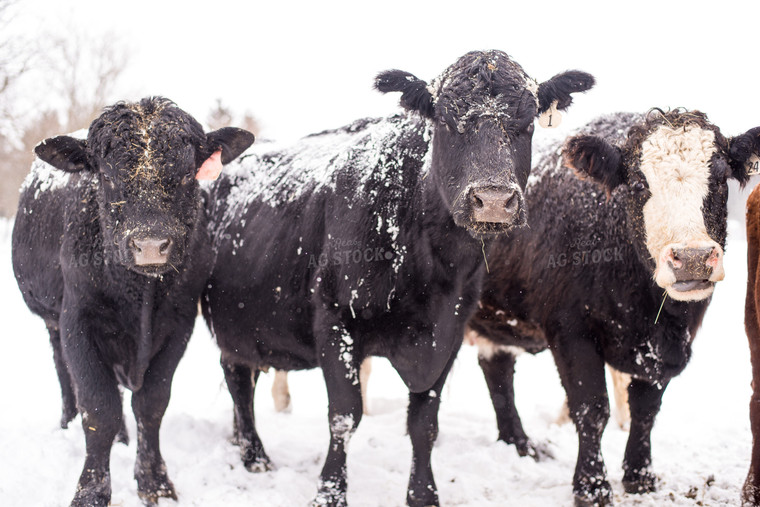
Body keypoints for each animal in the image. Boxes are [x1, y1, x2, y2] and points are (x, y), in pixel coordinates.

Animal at [11, 97, 255, 506]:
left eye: (187, 175)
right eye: (107, 177)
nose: (151, 244)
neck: (139, 296)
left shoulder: (179, 325)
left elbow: (151, 404)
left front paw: (155, 481)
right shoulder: (78, 321)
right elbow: (98, 407)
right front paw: (91, 491)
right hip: (52, 321)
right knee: (65, 375)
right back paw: (67, 424)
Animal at [205, 48, 596, 507]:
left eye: (529, 123)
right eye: (445, 122)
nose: (493, 200)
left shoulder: (448, 332)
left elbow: (424, 422)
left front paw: (423, 493)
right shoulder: (336, 321)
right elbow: (344, 416)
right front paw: (330, 492)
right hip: (231, 319)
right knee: (237, 379)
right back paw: (254, 454)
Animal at [470, 109, 760, 506]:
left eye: (719, 180)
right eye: (638, 185)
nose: (693, 259)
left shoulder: (664, 349)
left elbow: (646, 409)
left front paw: (639, 475)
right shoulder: (570, 331)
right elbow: (591, 409)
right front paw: (591, 487)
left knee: (497, 372)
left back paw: (522, 445)